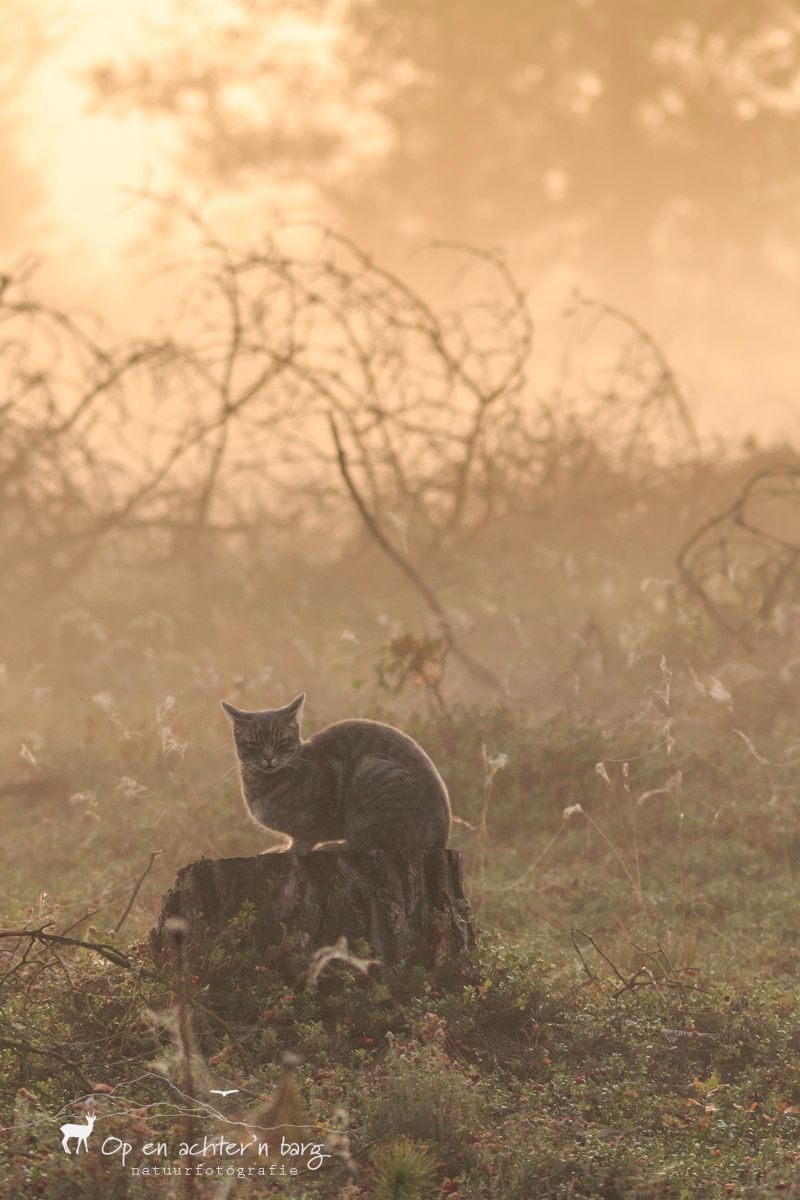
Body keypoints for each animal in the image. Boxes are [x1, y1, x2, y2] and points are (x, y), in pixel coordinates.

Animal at [221, 696, 453, 854]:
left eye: (281, 741)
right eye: (254, 744)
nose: (268, 758)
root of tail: (442, 840)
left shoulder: (318, 812)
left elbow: (304, 838)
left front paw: (290, 850)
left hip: (371, 772)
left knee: (371, 843)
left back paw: (334, 846)